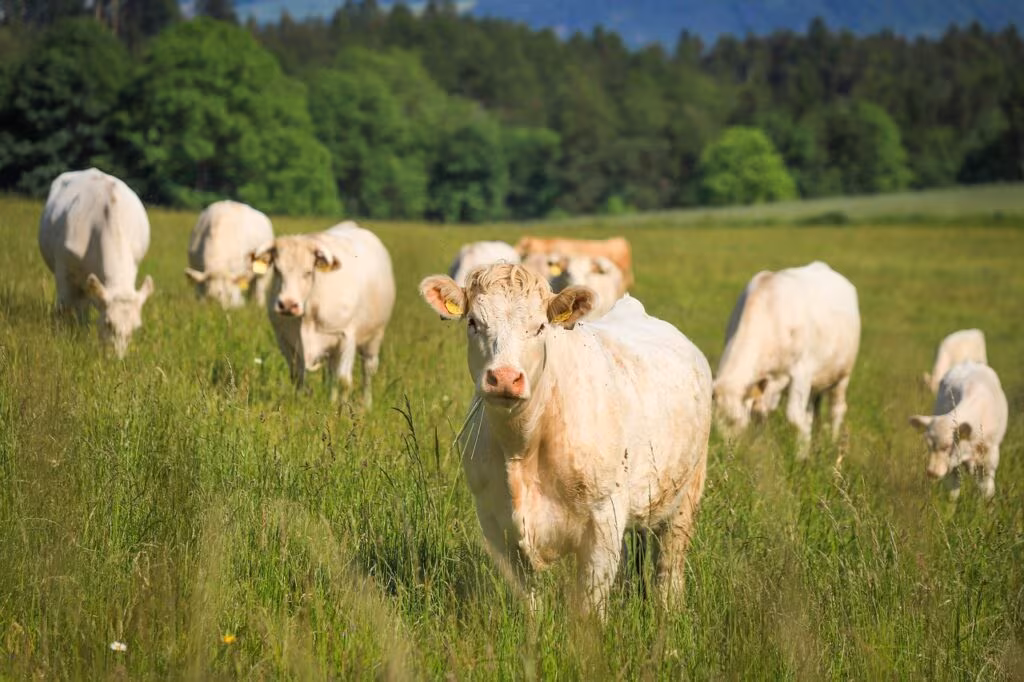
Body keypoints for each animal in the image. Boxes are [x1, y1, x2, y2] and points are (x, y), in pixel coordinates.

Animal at [251, 221, 395, 407]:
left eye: (308, 272)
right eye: (277, 270)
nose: (288, 305)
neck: (308, 313)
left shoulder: (346, 337)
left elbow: (344, 381)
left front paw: (342, 411)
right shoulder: (285, 340)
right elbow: (298, 377)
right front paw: (298, 405)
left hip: (374, 337)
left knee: (367, 371)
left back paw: (366, 405)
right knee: (332, 372)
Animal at [418, 263, 712, 616]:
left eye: (540, 326)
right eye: (474, 322)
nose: (504, 377)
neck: (522, 447)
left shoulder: (603, 519)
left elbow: (589, 606)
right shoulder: (494, 522)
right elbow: (530, 601)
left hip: (686, 495)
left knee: (669, 567)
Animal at [713, 261, 860, 457]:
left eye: (736, 420)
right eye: (715, 425)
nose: (728, 455)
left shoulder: (802, 372)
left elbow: (794, 417)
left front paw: (801, 456)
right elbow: (762, 415)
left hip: (843, 375)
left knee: (837, 409)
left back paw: (832, 442)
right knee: (811, 412)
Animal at [909, 362, 1007, 499]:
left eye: (947, 446)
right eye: (928, 446)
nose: (932, 472)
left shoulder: (990, 457)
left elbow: (986, 489)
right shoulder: (953, 463)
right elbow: (953, 491)